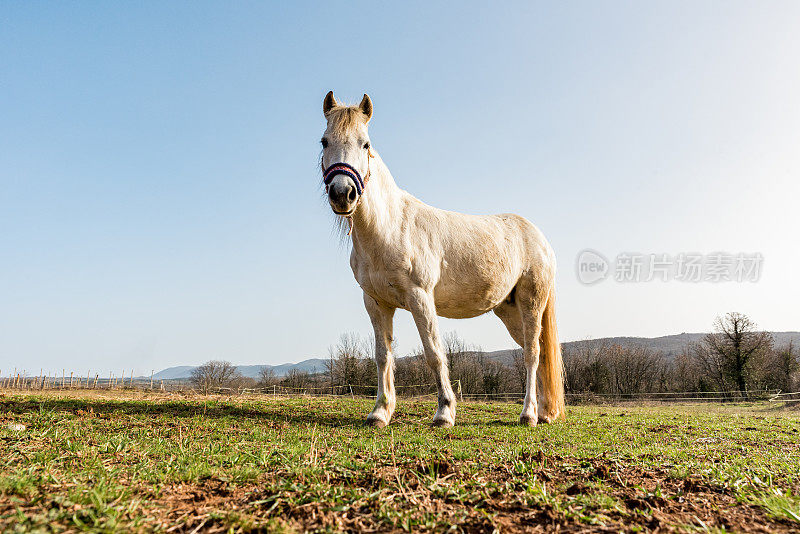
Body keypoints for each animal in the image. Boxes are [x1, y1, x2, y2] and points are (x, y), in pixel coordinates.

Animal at [318, 91, 564, 428]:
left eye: (365, 143)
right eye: (324, 141)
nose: (343, 194)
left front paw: (445, 412)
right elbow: (383, 356)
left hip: (531, 303)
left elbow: (434, 352)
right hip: (508, 310)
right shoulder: (376, 303)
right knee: (535, 351)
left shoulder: (420, 298)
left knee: (532, 354)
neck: (391, 227)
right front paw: (380, 412)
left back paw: (528, 414)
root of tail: (539, 238)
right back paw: (544, 412)